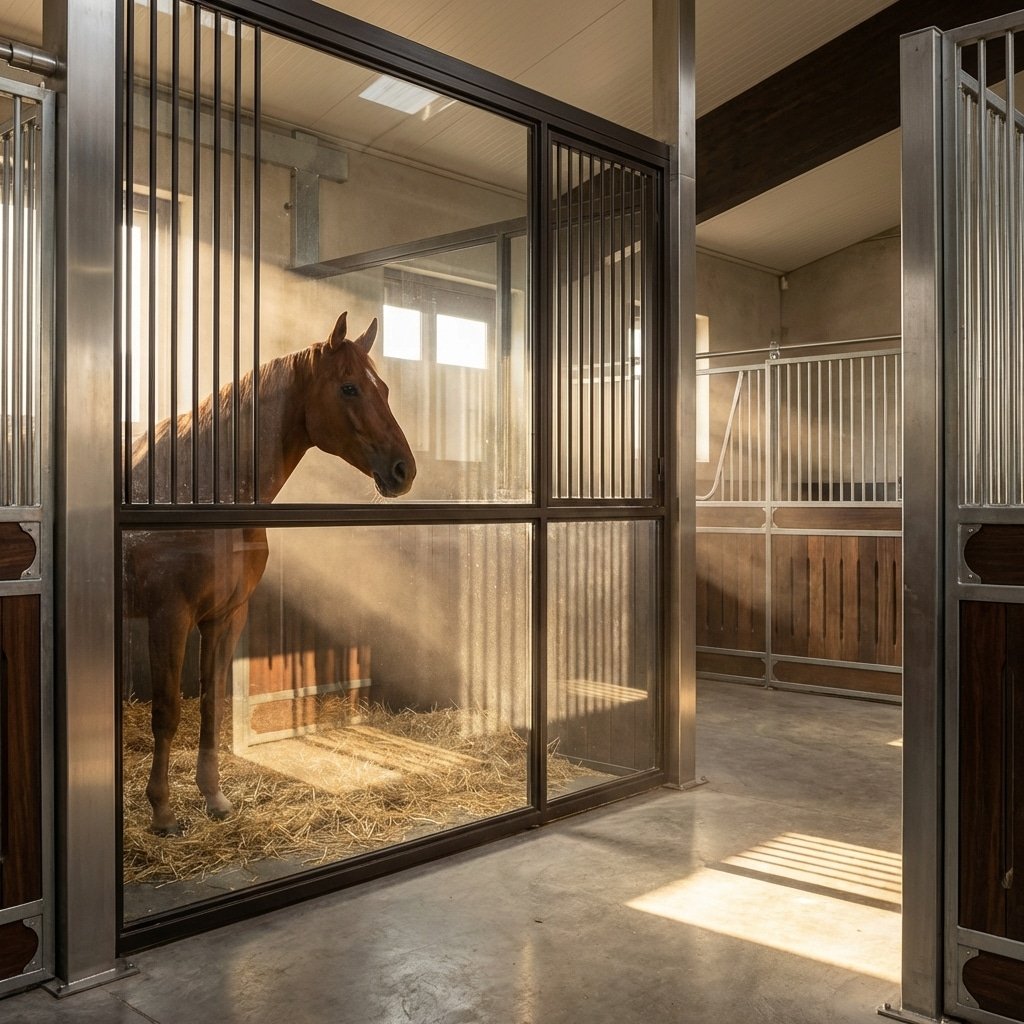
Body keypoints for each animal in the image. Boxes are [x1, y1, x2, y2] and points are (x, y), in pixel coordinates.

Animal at [124, 312, 416, 834]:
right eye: (349, 388)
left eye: (382, 387)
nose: (405, 469)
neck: (203, 493)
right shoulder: (169, 617)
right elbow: (167, 711)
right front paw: (161, 810)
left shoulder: (226, 616)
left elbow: (212, 703)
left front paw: (214, 796)